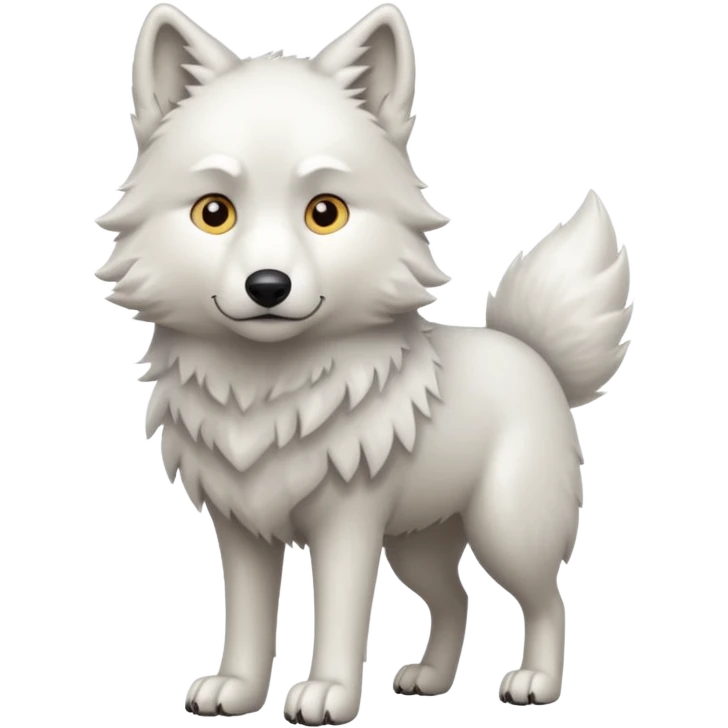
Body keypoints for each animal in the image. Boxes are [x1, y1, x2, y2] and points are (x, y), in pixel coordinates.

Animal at [95, 2, 632, 723]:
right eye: (214, 213)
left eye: (326, 213)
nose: (268, 286)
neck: (268, 387)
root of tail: (532, 353)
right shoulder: (242, 530)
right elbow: (246, 618)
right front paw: (236, 690)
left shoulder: (348, 525)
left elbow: (341, 618)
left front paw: (326, 694)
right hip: (418, 542)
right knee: (457, 598)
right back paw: (430, 680)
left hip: (505, 529)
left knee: (548, 598)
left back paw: (536, 684)